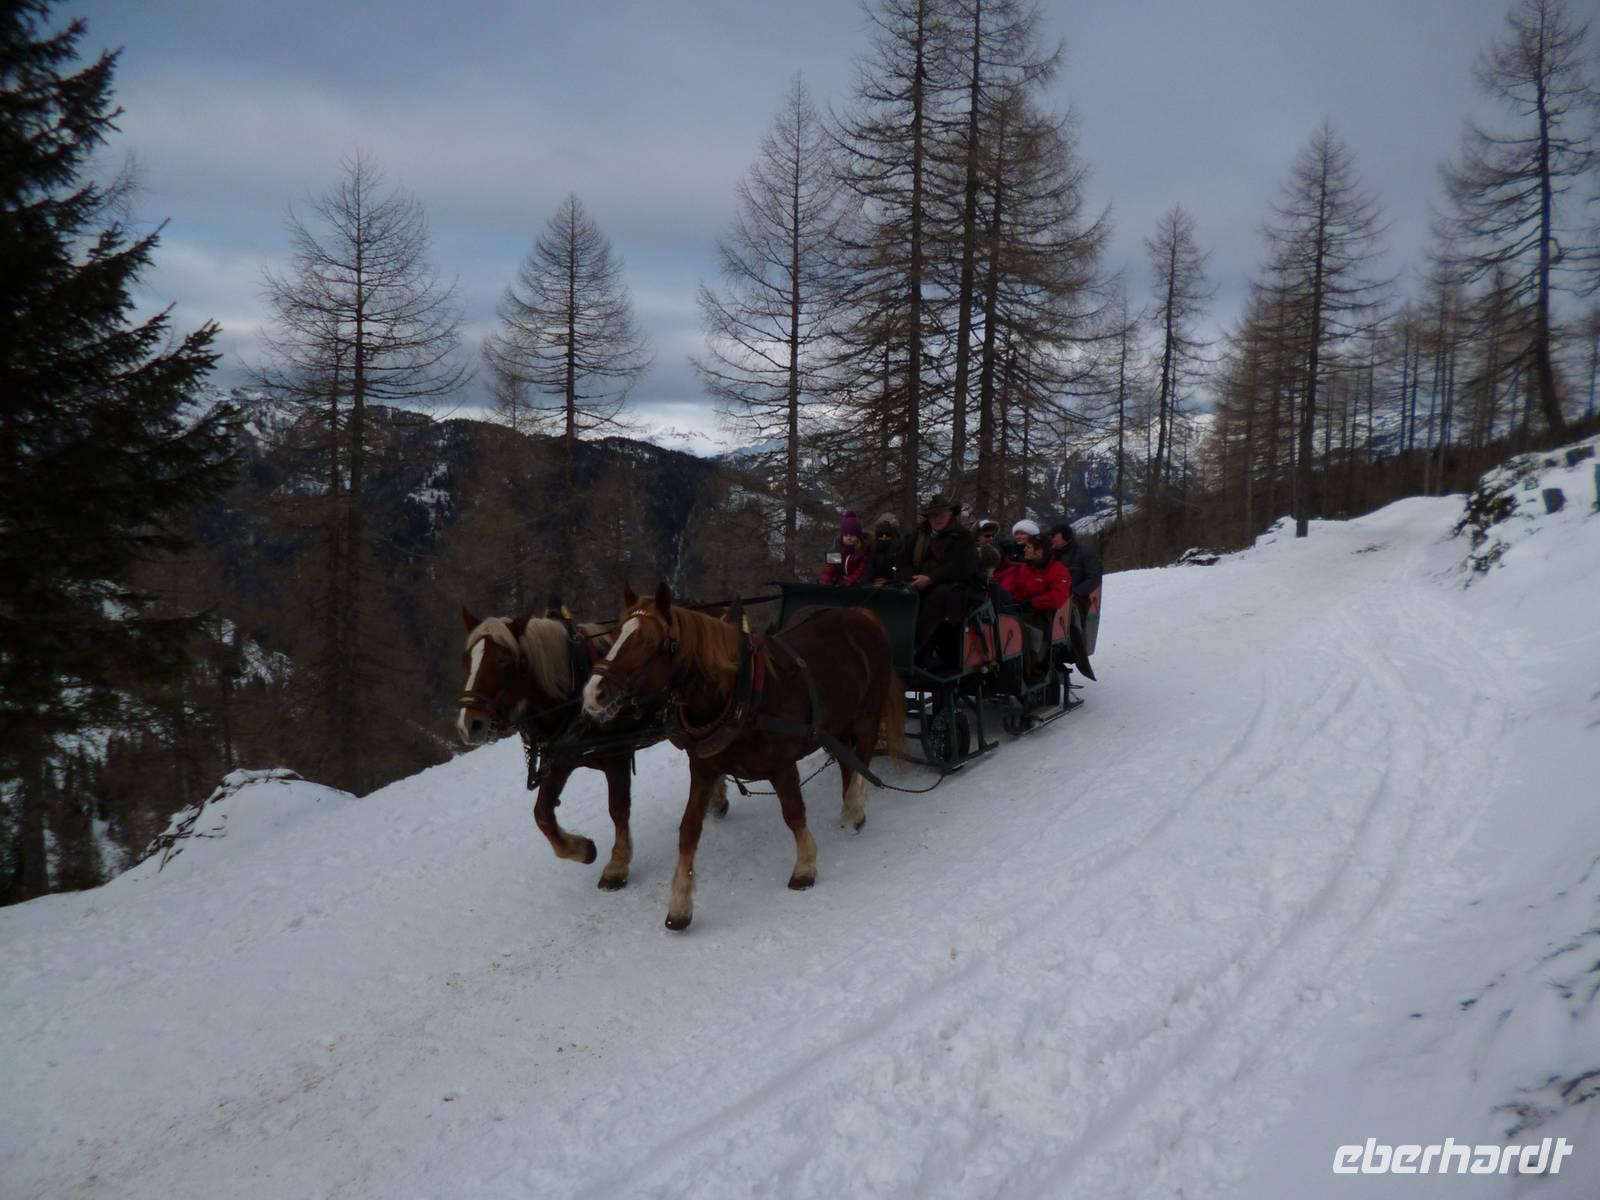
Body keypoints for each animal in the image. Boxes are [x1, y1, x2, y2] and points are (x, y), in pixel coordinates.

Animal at [455, 606, 726, 890]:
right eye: (467, 660)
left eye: (502, 660)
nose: (469, 724)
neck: (574, 696)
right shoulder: (561, 759)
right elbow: (542, 814)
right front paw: (581, 849)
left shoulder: (617, 755)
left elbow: (618, 808)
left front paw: (617, 866)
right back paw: (717, 799)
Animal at [581, 582, 905, 930]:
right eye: (615, 636)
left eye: (648, 642)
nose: (593, 693)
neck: (738, 694)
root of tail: (862, 612)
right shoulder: (704, 769)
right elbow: (688, 830)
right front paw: (680, 904)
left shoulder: (782, 766)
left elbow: (794, 814)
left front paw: (805, 866)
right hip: (837, 721)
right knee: (847, 757)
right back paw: (849, 807)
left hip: (867, 713)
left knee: (864, 754)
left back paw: (855, 807)